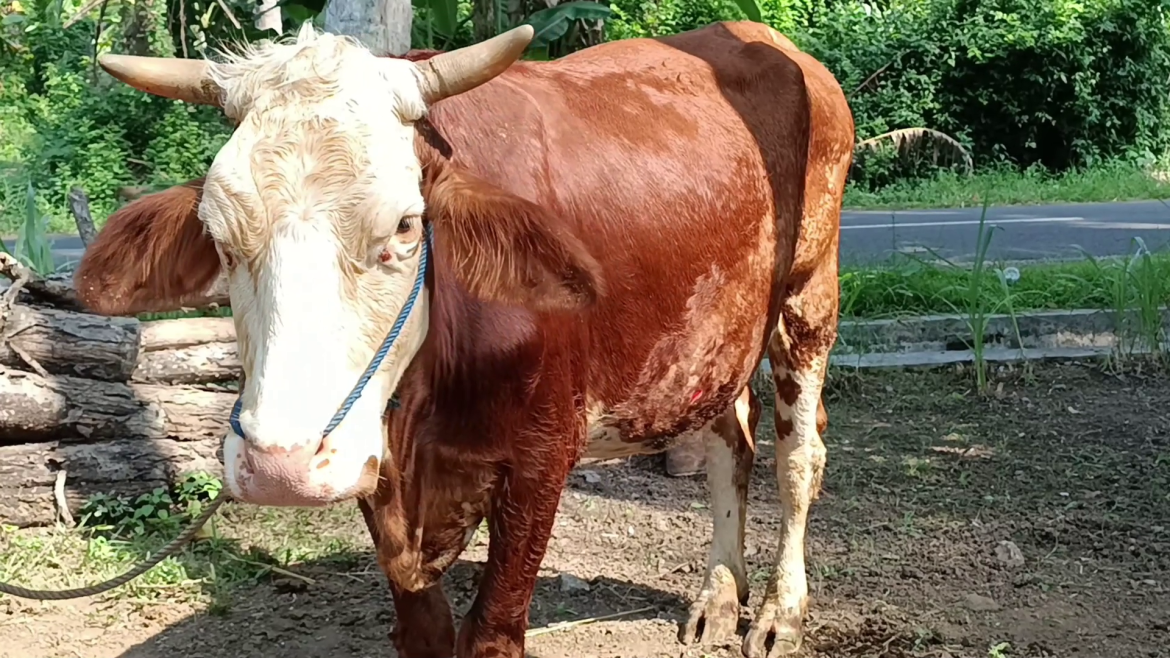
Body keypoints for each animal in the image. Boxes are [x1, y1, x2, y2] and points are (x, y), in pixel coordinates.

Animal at [77, 20, 856, 655]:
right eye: (218, 236)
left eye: (404, 226)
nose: (279, 467)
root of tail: (773, 44)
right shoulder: (375, 461)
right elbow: (425, 629)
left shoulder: (543, 455)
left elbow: (491, 632)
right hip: (715, 338)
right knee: (732, 443)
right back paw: (720, 595)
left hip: (808, 297)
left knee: (797, 458)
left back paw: (779, 612)